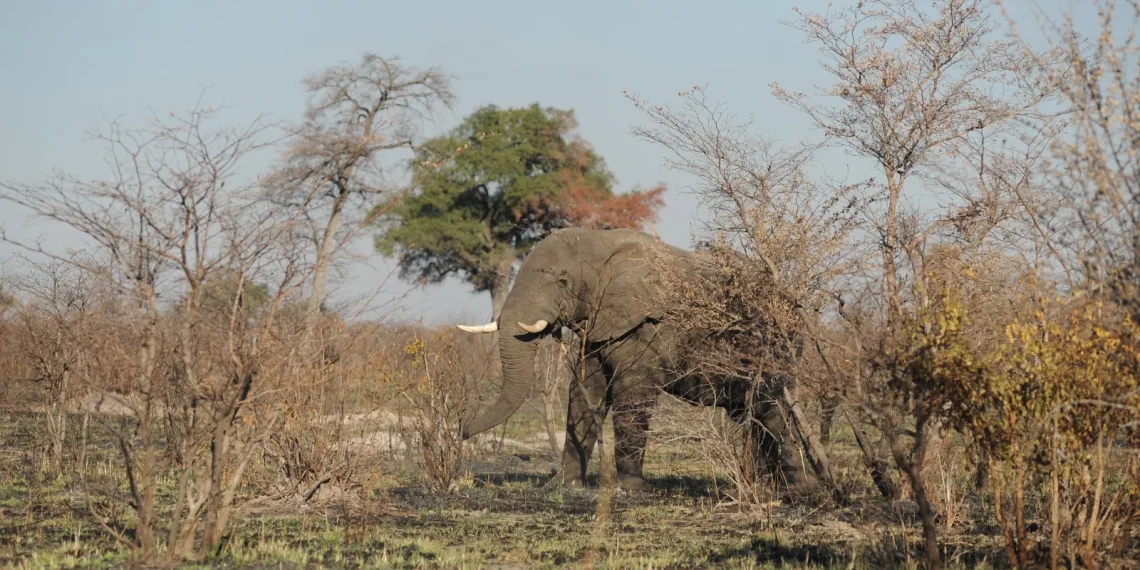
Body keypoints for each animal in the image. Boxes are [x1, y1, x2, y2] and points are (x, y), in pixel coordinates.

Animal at [456, 227, 818, 493]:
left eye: (562, 280)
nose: (461, 429)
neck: (601, 243)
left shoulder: (647, 327)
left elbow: (632, 391)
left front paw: (633, 489)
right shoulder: (599, 326)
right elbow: (585, 391)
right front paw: (564, 485)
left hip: (779, 346)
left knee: (770, 409)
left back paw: (794, 488)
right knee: (754, 413)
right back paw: (766, 484)